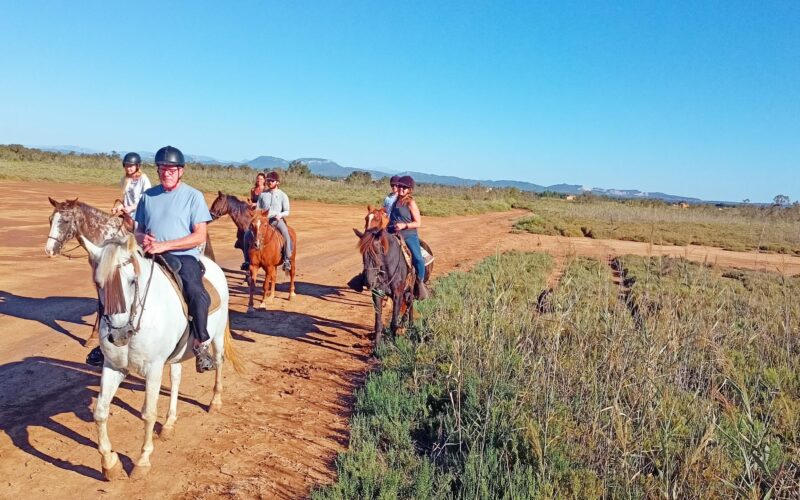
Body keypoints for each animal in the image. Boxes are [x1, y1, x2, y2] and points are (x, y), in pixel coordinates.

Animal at [77, 234, 241, 480]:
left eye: (132, 281)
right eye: (98, 284)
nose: (119, 335)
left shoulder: (153, 369)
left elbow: (148, 413)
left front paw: (142, 461)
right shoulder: (113, 367)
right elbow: (100, 412)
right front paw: (109, 463)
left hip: (218, 336)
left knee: (219, 363)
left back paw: (215, 402)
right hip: (176, 354)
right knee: (176, 379)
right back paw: (170, 423)